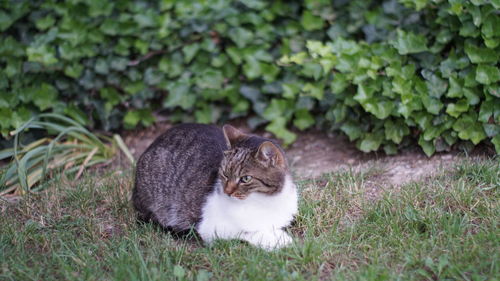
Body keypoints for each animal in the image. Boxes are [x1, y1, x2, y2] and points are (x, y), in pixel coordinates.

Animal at [131, 123, 298, 248]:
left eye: (245, 179)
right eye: (224, 174)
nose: (227, 191)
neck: (264, 201)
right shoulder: (212, 228)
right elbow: (247, 231)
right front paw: (278, 239)